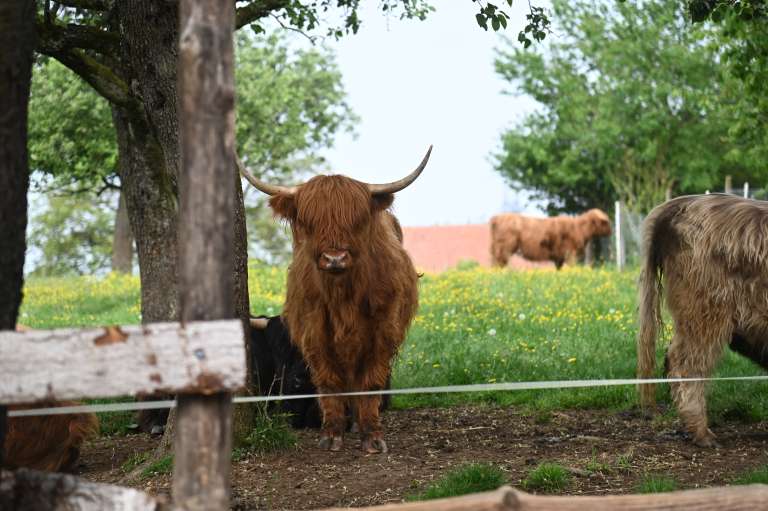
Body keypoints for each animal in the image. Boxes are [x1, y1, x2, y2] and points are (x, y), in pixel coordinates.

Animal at [240, 147, 432, 452]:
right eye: (309, 221)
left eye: (356, 220)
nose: (334, 258)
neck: (343, 295)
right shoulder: (314, 332)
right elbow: (329, 381)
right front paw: (332, 434)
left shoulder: (382, 331)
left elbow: (370, 382)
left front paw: (371, 435)